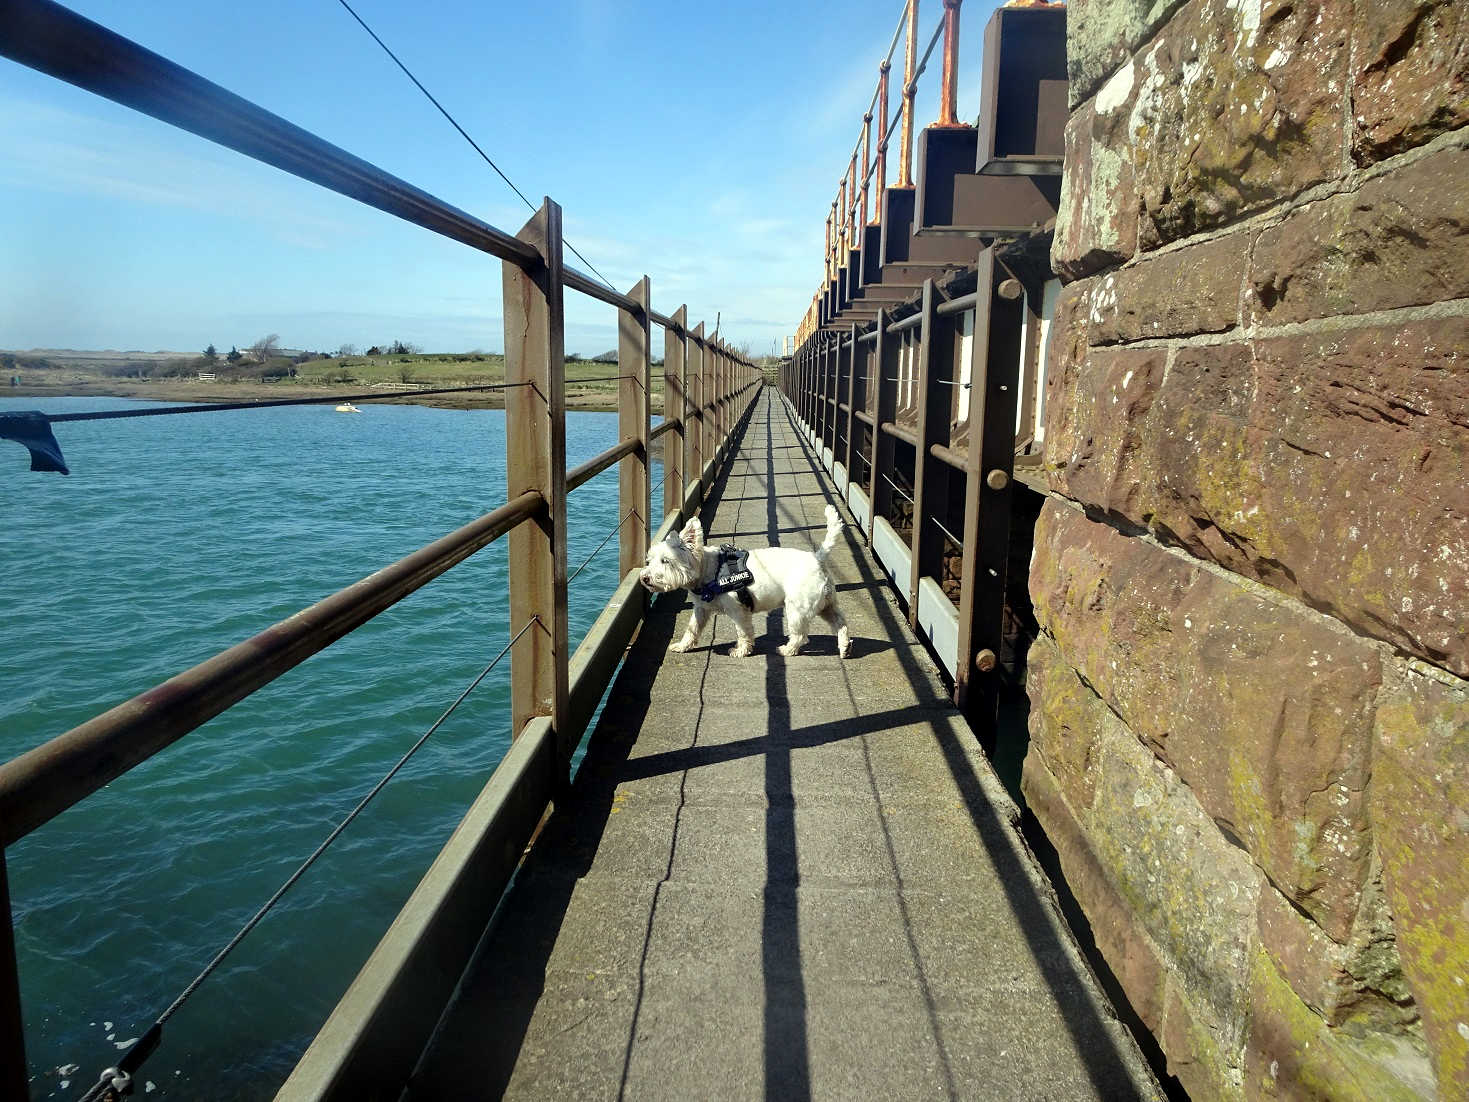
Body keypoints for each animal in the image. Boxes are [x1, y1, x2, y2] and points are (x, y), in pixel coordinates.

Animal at [640, 508, 857, 655]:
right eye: (649, 560)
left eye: (665, 561)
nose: (645, 578)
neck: (709, 571)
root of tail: (817, 557)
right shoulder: (701, 609)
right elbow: (692, 629)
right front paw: (682, 646)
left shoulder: (737, 609)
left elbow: (743, 631)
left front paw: (741, 650)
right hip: (826, 604)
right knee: (840, 622)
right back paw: (845, 647)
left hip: (797, 608)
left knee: (801, 635)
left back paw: (787, 649)